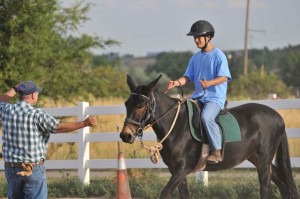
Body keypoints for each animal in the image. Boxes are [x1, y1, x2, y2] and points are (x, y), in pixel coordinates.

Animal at [119, 75, 298, 199]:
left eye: (140, 105)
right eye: (126, 103)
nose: (125, 135)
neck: (176, 126)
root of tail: (277, 116)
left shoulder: (182, 169)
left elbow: (165, 193)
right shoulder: (176, 171)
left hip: (263, 159)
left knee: (266, 187)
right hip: (256, 158)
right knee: (282, 183)